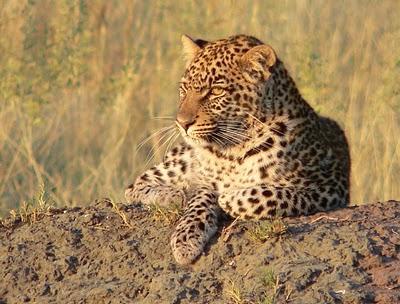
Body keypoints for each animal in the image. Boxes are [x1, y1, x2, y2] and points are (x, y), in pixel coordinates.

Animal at [125, 34, 350, 264]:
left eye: (216, 91)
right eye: (184, 89)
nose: (182, 123)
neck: (233, 152)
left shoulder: (328, 185)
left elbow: (273, 194)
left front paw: (228, 198)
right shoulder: (205, 180)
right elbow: (199, 200)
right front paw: (185, 239)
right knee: (136, 185)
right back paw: (175, 194)